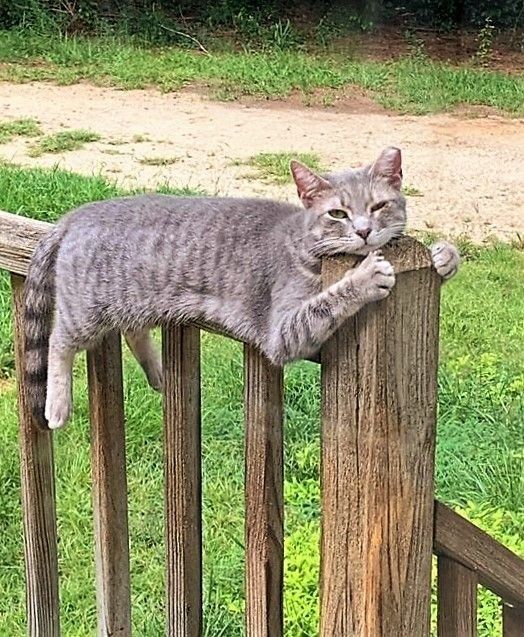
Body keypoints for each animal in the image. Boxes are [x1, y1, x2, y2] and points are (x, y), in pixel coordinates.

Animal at [23, 147, 459, 430]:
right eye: (337, 213)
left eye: (379, 206)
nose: (365, 231)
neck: (303, 243)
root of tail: (76, 214)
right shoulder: (282, 332)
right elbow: (325, 302)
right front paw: (366, 276)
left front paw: (444, 257)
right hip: (87, 310)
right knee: (58, 341)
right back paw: (58, 404)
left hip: (130, 304)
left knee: (132, 332)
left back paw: (158, 374)